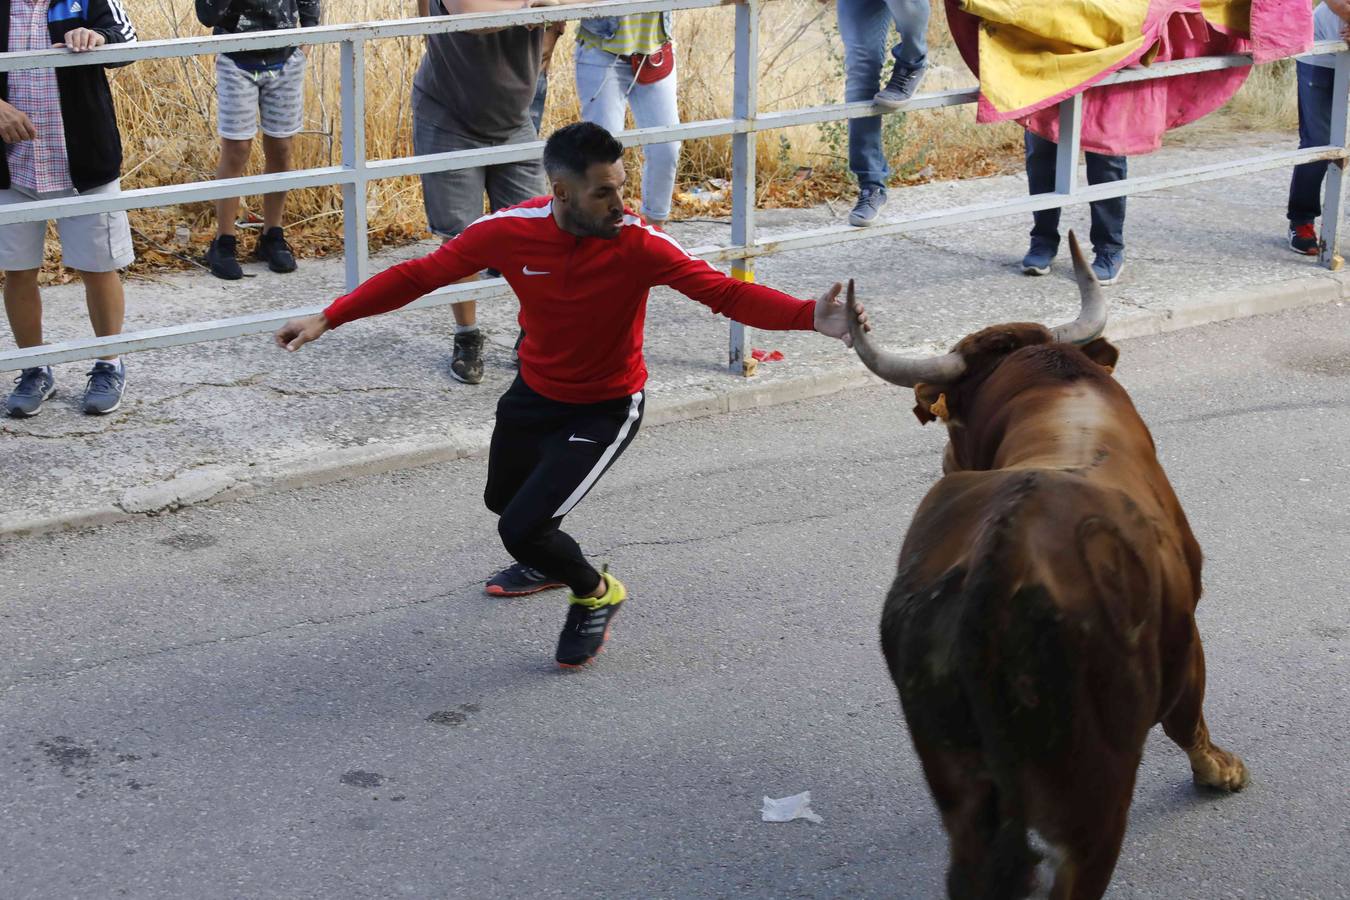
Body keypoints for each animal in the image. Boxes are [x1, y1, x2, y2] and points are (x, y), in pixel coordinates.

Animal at [847, 232, 1247, 900]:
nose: (946, 460)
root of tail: (1000, 560)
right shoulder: (1186, 631)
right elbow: (1187, 714)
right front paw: (1220, 771)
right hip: (1093, 792)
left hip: (962, 785)